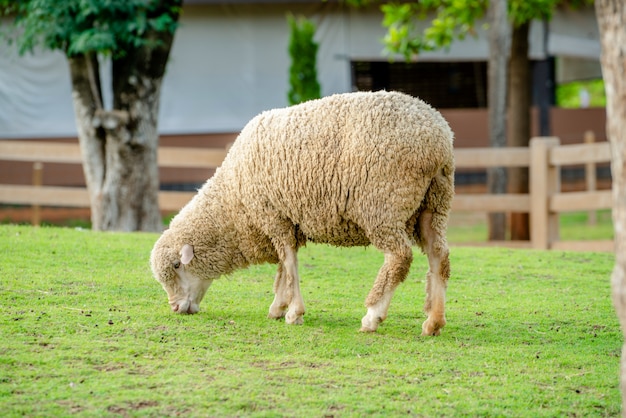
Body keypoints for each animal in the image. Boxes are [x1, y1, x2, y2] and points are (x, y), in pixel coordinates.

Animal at [151, 90, 454, 336]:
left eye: (177, 265)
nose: (176, 308)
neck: (233, 202)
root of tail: (439, 139)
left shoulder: (273, 216)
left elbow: (290, 266)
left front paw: (293, 313)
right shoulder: (284, 221)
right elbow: (283, 270)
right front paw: (278, 306)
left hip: (383, 205)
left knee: (399, 257)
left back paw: (372, 316)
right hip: (433, 204)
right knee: (439, 256)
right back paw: (433, 322)